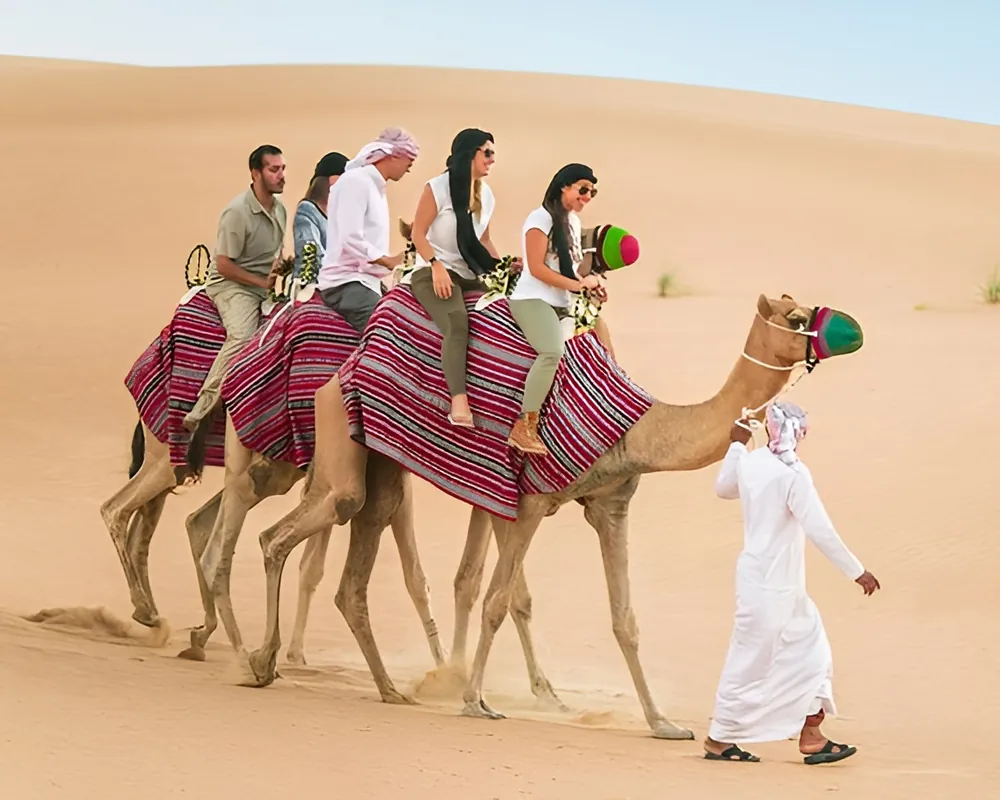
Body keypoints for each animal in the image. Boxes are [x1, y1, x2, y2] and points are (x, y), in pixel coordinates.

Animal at [238, 291, 863, 740]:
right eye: (798, 315)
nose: (851, 330)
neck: (641, 426)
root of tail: (352, 353)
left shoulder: (611, 506)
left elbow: (624, 619)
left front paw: (664, 723)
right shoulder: (530, 502)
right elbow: (496, 600)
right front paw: (475, 702)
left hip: (384, 464)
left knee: (350, 563)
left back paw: (387, 688)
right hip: (341, 438)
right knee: (285, 532)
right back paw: (261, 661)